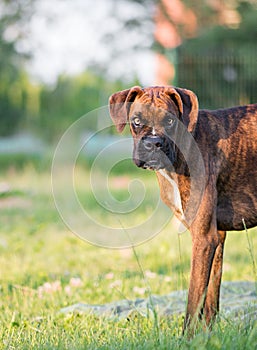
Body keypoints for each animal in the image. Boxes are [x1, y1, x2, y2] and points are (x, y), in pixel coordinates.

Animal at [108, 85, 256, 334]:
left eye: (170, 121)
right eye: (136, 121)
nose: (153, 143)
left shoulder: (204, 238)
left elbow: (193, 299)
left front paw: (187, 337)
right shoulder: (216, 237)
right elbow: (210, 298)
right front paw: (207, 336)